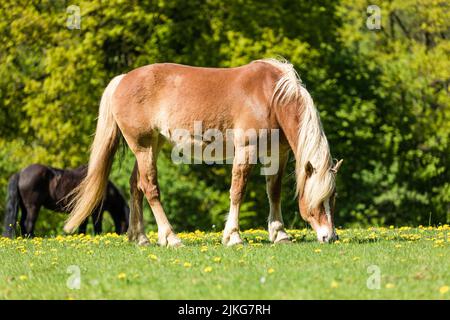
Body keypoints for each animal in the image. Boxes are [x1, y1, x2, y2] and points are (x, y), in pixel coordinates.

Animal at [63, 57, 342, 246]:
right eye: (317, 199)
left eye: (333, 197)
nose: (330, 236)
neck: (271, 95)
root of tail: (122, 79)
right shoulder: (247, 150)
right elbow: (237, 190)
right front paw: (233, 236)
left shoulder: (278, 154)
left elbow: (274, 191)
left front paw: (280, 233)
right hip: (143, 147)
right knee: (150, 187)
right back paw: (170, 237)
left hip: (151, 146)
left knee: (136, 186)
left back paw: (140, 237)